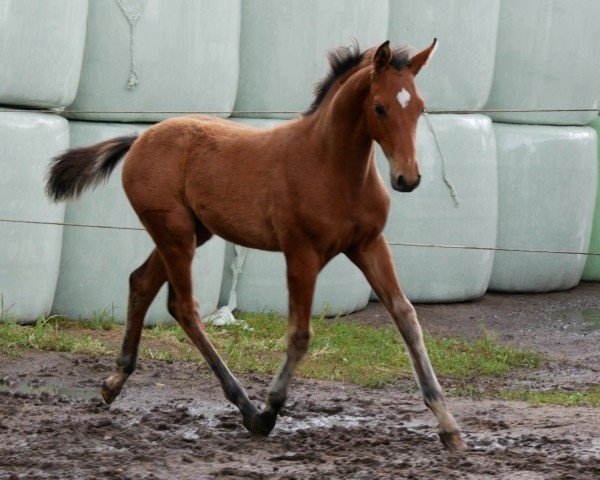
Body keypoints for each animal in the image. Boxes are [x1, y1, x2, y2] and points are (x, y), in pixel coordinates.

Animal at [48, 40, 464, 450]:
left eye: (420, 107)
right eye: (379, 107)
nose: (408, 178)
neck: (331, 165)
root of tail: (140, 138)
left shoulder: (369, 245)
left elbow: (406, 316)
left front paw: (447, 423)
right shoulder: (301, 254)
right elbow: (299, 335)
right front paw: (269, 411)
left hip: (192, 232)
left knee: (142, 282)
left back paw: (114, 382)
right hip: (174, 233)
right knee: (184, 307)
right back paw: (246, 407)